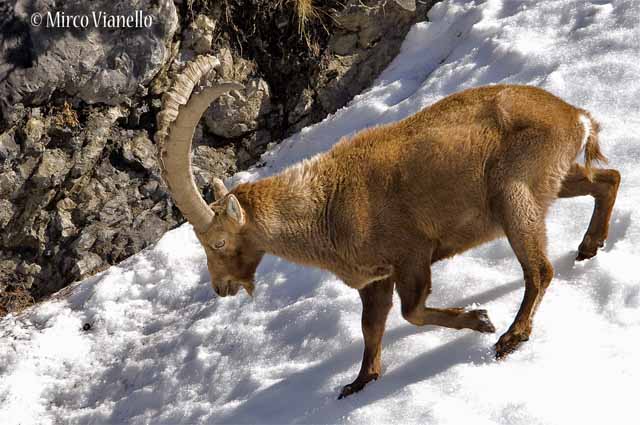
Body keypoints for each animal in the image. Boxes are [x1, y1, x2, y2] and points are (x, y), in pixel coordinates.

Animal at [156, 55, 620, 399]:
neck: (323, 205)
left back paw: (511, 335)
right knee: (608, 180)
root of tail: (575, 116)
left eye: (217, 242)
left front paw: (480, 318)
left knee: (539, 269)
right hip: (552, 181)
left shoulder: (411, 255)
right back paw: (589, 245)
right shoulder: (373, 278)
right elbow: (371, 326)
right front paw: (361, 380)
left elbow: (411, 312)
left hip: (513, 195)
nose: (222, 287)